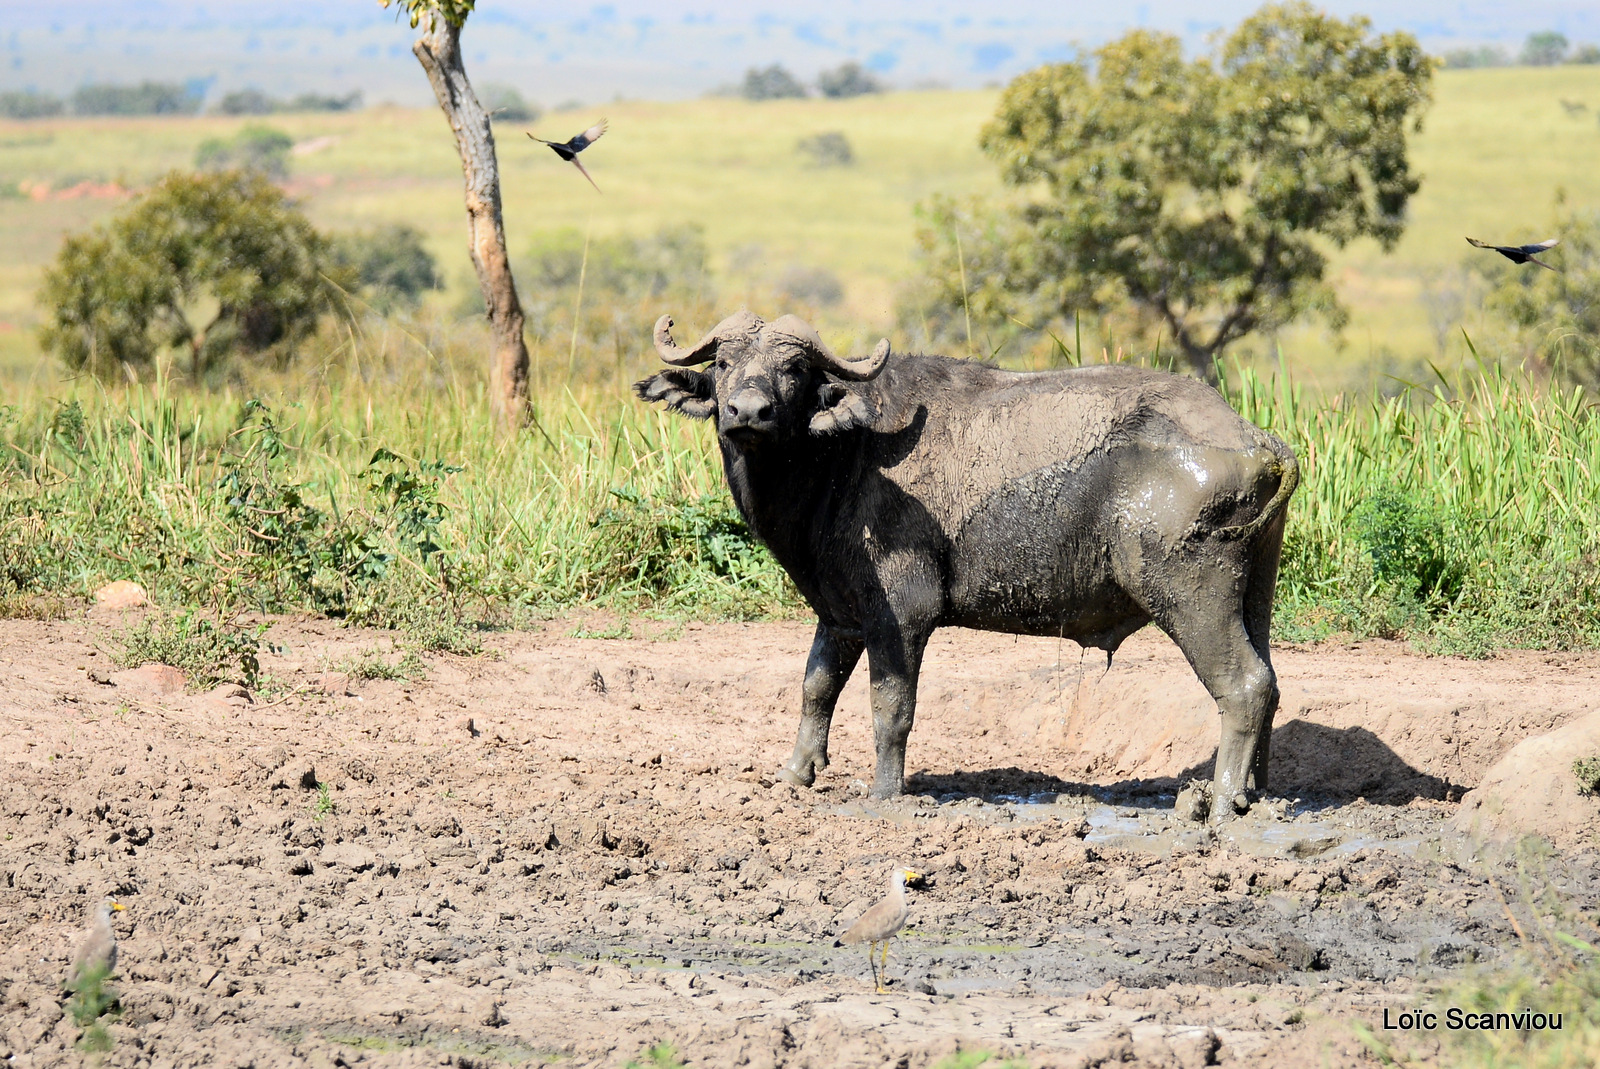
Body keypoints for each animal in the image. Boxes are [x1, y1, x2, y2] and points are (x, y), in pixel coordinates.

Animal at [636, 308, 1299, 819]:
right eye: (723, 364)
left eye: (794, 369)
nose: (748, 412)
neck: (845, 454)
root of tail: (1263, 444)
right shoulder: (840, 613)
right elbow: (815, 686)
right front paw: (796, 773)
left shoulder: (901, 614)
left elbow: (890, 707)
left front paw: (884, 793)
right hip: (1254, 591)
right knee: (1270, 683)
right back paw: (1258, 795)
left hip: (1187, 592)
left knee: (1244, 685)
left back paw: (1219, 802)